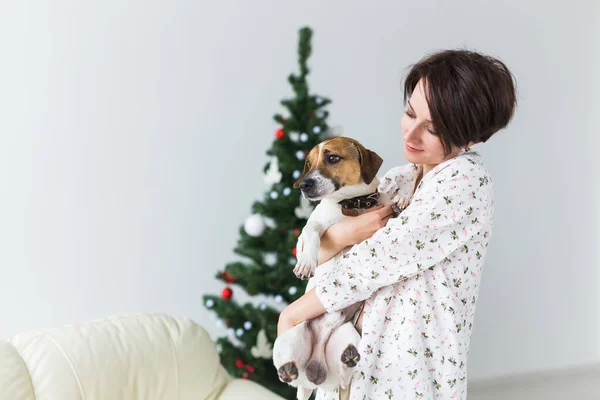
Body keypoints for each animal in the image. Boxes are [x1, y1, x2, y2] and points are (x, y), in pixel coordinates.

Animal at [272, 138, 408, 400]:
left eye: (332, 158)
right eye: (307, 163)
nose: (303, 185)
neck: (353, 204)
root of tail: (314, 372)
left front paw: (402, 199)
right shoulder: (313, 227)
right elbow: (311, 234)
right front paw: (306, 262)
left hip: (348, 337)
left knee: (345, 375)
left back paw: (347, 360)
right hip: (290, 338)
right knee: (288, 374)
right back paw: (288, 370)